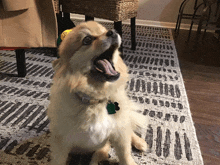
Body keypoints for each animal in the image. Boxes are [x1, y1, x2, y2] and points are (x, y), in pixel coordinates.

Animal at [47, 21, 148, 165]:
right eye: (87, 39)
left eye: (104, 31)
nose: (113, 32)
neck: (95, 100)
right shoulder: (61, 141)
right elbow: (58, 160)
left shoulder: (120, 133)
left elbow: (126, 155)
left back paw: (139, 142)